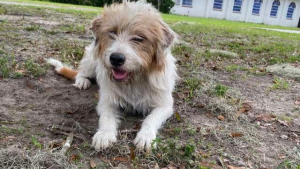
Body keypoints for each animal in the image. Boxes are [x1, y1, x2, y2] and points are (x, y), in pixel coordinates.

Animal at [47, 0, 177, 151]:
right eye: (112, 32)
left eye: (139, 38)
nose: (116, 58)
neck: (133, 81)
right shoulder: (106, 101)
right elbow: (107, 117)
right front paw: (104, 134)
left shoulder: (165, 105)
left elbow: (151, 119)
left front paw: (146, 136)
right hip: (92, 60)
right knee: (81, 72)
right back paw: (82, 81)